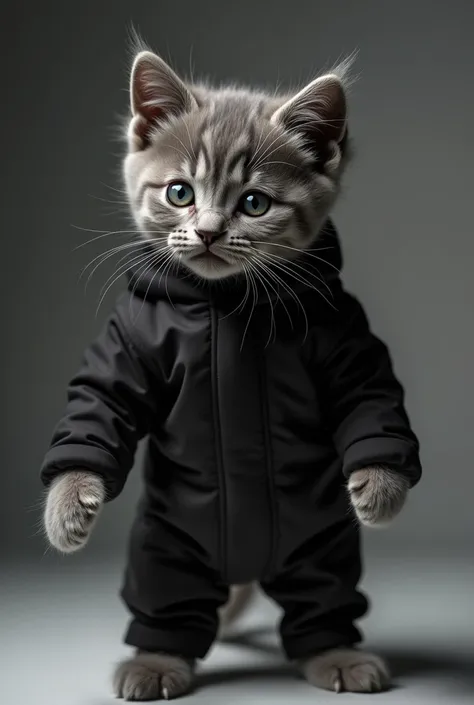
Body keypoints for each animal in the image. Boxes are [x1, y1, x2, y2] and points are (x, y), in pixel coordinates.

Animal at [40, 45, 418, 700]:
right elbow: (100, 402)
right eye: (179, 192)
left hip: (322, 547)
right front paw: (67, 504)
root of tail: (249, 569)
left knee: (323, 600)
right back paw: (155, 661)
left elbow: (369, 395)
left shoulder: (346, 339)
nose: (210, 230)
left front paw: (381, 486)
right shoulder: (128, 345)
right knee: (167, 602)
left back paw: (338, 655)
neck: (226, 302)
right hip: (166, 549)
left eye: (254, 203)